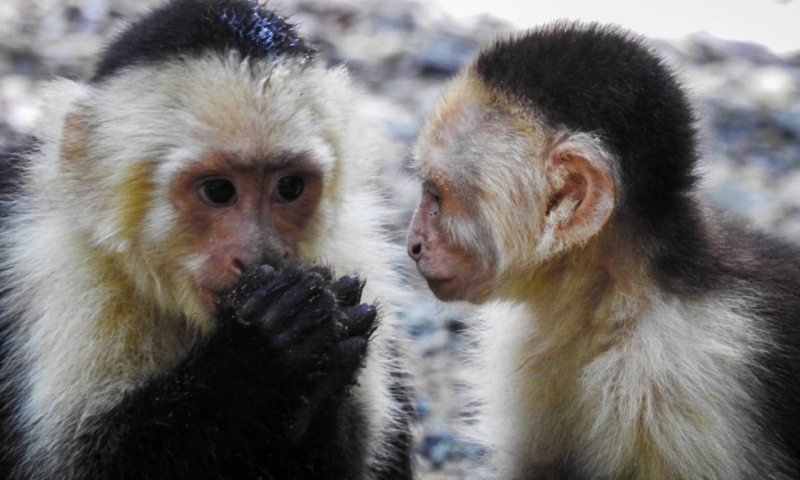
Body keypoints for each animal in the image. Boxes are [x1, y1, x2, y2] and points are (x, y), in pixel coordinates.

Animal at [0, 0, 414, 478]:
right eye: (218, 191)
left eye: (289, 187)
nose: (259, 257)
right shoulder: (61, 267)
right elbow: (83, 462)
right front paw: (263, 352)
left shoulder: (354, 248)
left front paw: (313, 386)